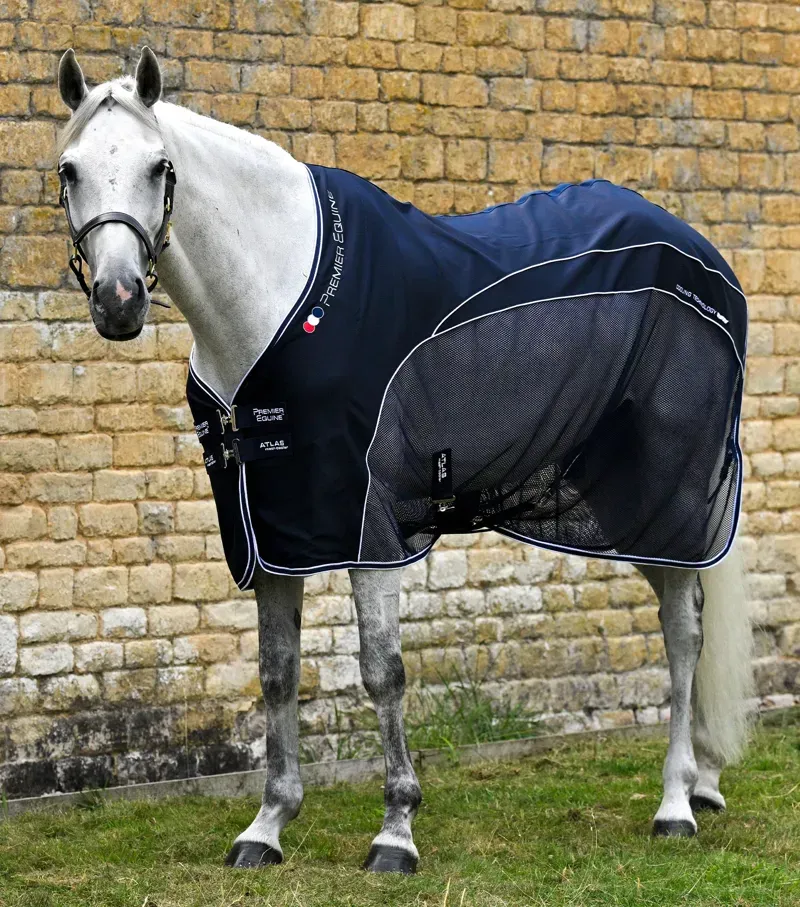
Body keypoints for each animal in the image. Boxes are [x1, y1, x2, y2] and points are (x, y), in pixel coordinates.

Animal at [55, 48, 753, 874]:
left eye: (159, 166)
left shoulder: (368, 526)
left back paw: (676, 802)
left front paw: (396, 830)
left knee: (683, 633)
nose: (119, 300)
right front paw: (267, 824)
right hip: (621, 505)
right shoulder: (276, 531)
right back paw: (704, 781)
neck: (274, 296)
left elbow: (382, 671)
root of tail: (706, 257)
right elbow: (277, 673)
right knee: (691, 619)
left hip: (664, 496)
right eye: (69, 169)